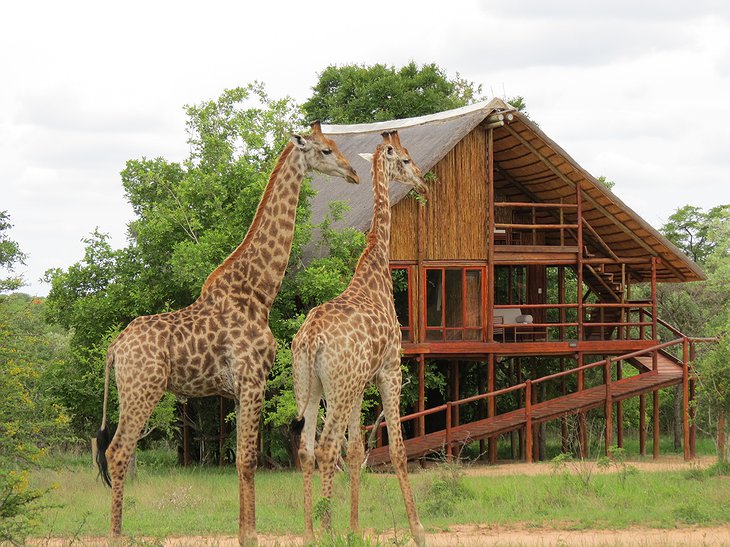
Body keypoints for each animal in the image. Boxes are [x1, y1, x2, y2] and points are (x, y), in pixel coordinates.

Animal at [94, 122, 358, 544]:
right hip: (142, 390)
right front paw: (250, 534)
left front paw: (243, 531)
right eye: (325, 150)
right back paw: (116, 534)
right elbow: (247, 460)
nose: (353, 173)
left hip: (130, 391)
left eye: (335, 145)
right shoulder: (252, 379)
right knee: (118, 452)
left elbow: (241, 459)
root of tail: (115, 346)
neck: (258, 293)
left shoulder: (236, 388)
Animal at [290, 131, 426, 544]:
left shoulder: (360, 383)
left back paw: (311, 533)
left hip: (311, 387)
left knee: (307, 448)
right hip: (338, 386)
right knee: (325, 447)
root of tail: (311, 339)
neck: (376, 270)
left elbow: (356, 450)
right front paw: (418, 529)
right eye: (405, 159)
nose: (422, 180)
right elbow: (397, 449)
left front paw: (353, 528)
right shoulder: (390, 370)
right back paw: (326, 530)